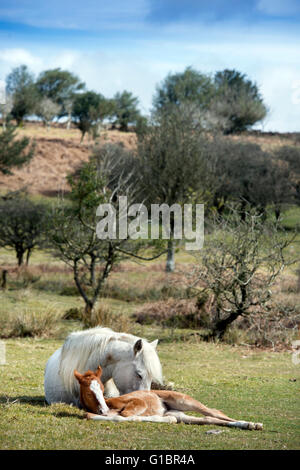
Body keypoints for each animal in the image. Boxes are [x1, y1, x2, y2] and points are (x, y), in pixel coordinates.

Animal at [73, 368, 262, 430]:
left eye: (102, 388)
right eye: (89, 392)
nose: (103, 410)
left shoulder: (137, 403)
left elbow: (125, 415)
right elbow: (92, 415)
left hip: (186, 402)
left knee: (215, 412)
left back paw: (254, 424)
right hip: (182, 414)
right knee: (209, 419)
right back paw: (250, 425)